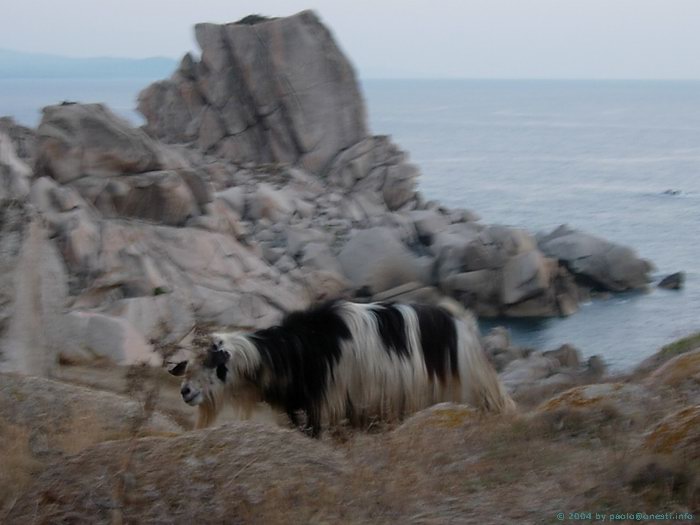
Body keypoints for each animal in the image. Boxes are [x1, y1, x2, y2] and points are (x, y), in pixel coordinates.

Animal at [171, 298, 516, 434]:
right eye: (188, 363)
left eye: (212, 362)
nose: (185, 391)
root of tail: (464, 324)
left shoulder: (329, 408)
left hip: (470, 392)